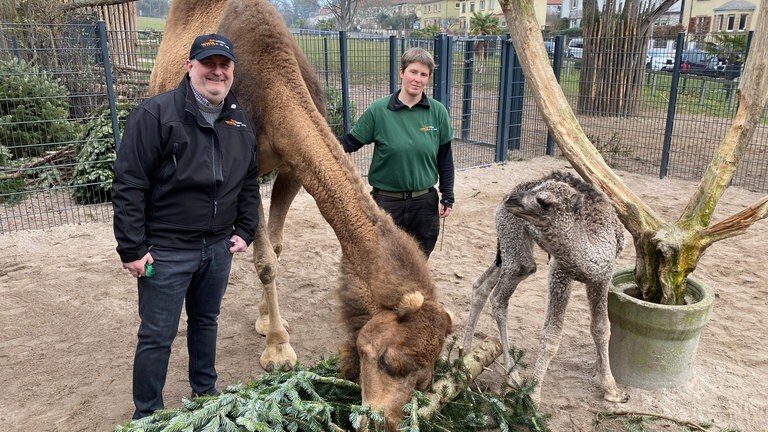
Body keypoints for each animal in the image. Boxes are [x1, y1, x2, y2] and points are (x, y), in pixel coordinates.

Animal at [147, 0, 452, 428]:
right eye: (387, 361)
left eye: (425, 379)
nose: (381, 420)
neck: (273, 85)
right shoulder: (246, 169)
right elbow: (264, 262)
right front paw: (278, 350)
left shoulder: (291, 167)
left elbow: (275, 247)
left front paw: (267, 321)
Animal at [462, 171, 632, 404]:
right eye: (535, 192)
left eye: (544, 201)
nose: (513, 200)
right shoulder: (560, 272)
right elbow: (551, 335)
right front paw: (533, 396)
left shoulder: (602, 278)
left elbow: (601, 328)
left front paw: (611, 388)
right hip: (513, 239)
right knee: (499, 299)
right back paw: (512, 376)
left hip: (507, 252)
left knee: (481, 287)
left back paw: (465, 359)